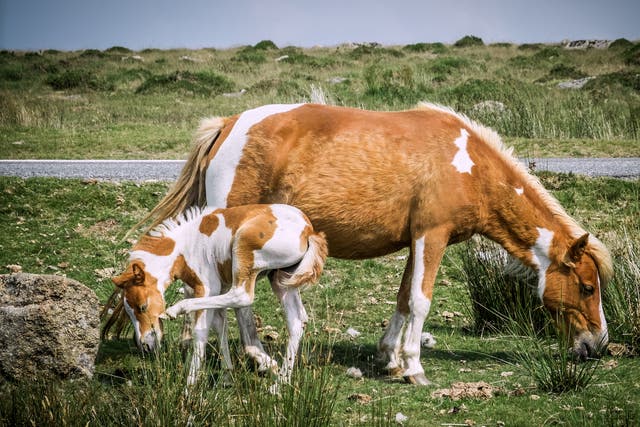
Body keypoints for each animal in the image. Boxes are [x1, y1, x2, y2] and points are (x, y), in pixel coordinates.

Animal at [109, 203, 327, 385]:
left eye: (142, 306)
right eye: (129, 312)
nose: (145, 345)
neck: (186, 247)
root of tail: (309, 230)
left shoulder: (207, 288)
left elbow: (201, 331)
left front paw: (189, 386)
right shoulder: (217, 291)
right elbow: (220, 325)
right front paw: (228, 375)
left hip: (243, 249)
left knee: (242, 295)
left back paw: (177, 308)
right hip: (281, 279)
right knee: (296, 320)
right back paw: (279, 382)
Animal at [139, 102, 613, 386]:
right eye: (588, 287)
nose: (597, 345)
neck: (467, 166)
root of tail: (227, 127)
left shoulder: (416, 241)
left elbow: (404, 298)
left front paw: (390, 357)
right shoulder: (432, 237)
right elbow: (420, 301)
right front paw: (414, 367)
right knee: (235, 302)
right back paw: (258, 357)